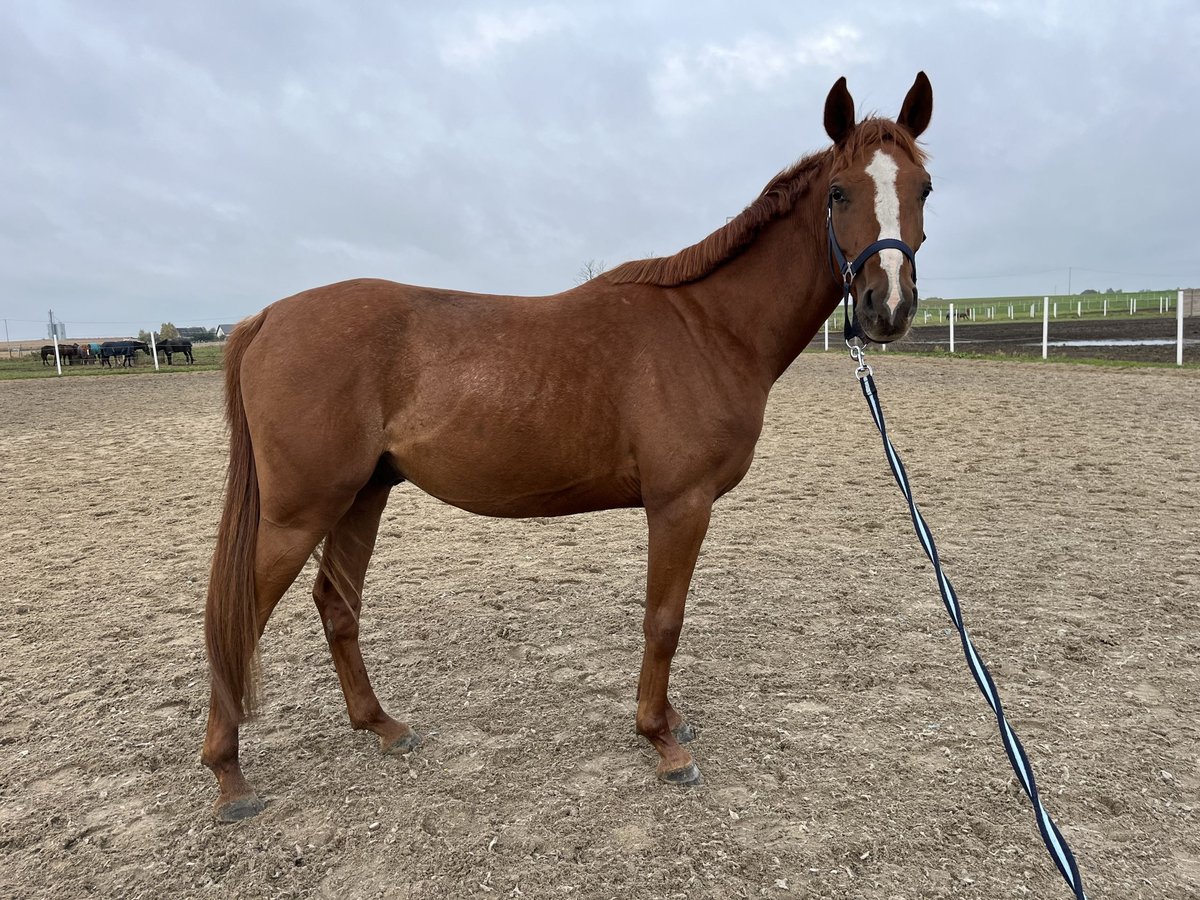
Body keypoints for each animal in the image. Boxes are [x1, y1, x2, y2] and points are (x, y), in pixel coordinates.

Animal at [203, 72, 934, 822]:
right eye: (839, 191)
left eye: (924, 188)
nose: (887, 308)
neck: (709, 327)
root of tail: (266, 318)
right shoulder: (680, 504)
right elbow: (663, 620)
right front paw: (661, 741)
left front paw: (670, 723)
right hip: (301, 513)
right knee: (237, 618)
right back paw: (230, 776)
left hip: (361, 496)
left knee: (336, 604)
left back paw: (383, 726)